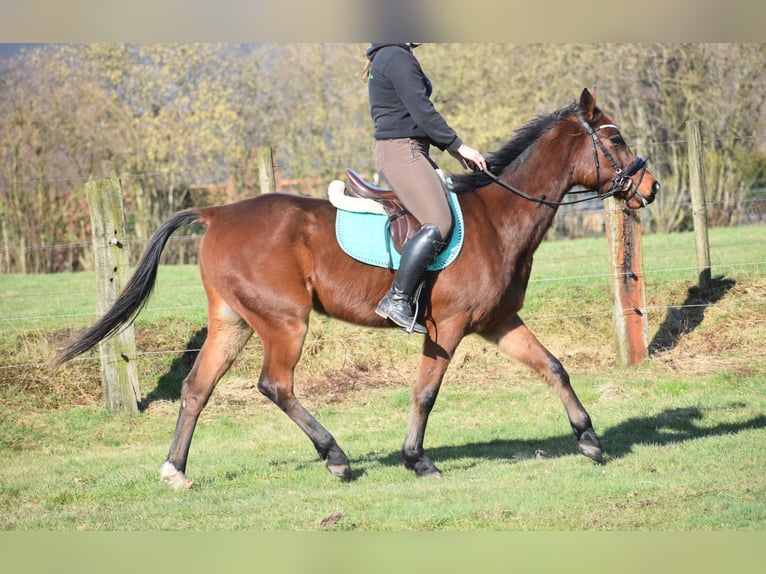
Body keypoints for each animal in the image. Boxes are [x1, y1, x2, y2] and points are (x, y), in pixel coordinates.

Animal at [57, 88, 664, 488]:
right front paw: (417, 459)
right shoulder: (449, 327)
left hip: (233, 322)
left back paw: (176, 470)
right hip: (284, 322)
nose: (651, 187)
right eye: (614, 137)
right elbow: (425, 392)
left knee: (196, 388)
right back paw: (336, 457)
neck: (500, 217)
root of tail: (217, 211)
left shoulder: (497, 323)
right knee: (275, 385)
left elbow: (553, 367)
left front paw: (589, 440)